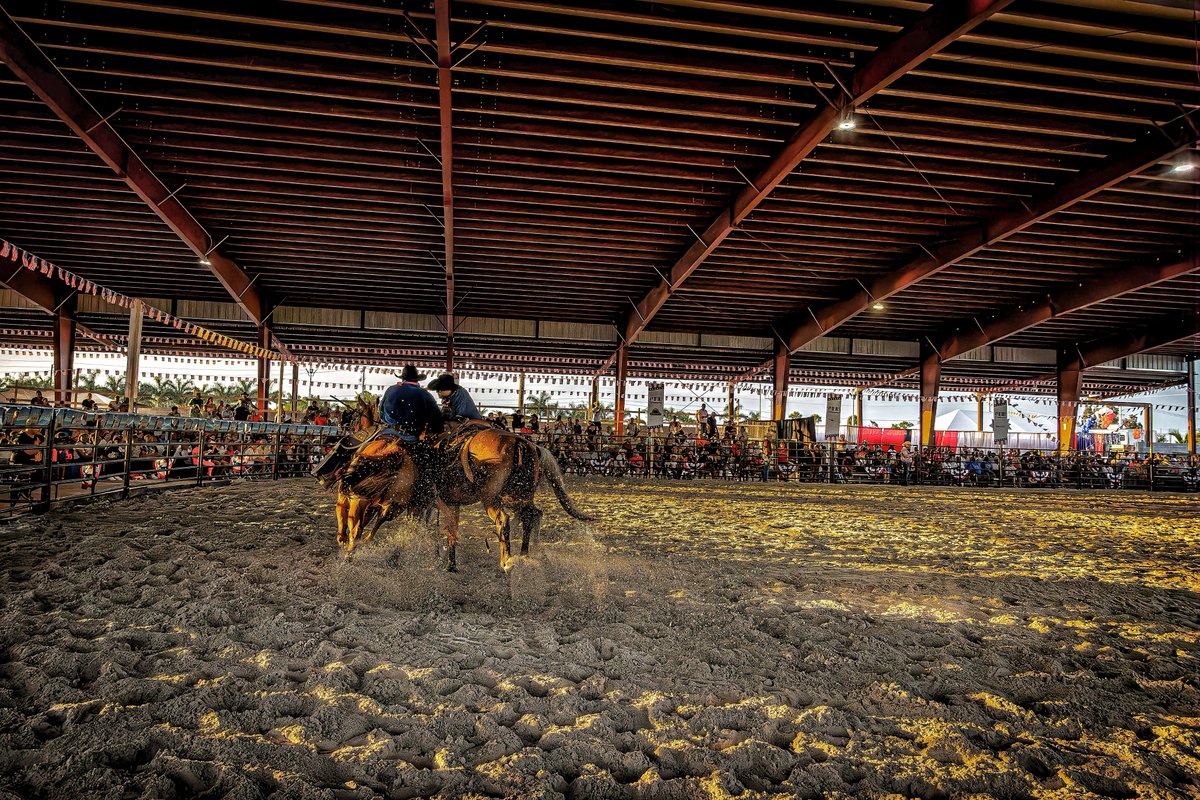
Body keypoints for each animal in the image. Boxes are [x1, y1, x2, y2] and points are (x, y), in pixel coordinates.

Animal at [436, 429, 595, 573]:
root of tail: (521, 444)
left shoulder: (445, 502)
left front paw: (447, 562)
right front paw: (449, 562)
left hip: (492, 498)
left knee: (505, 520)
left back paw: (507, 559)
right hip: (520, 496)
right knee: (531, 514)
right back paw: (525, 553)